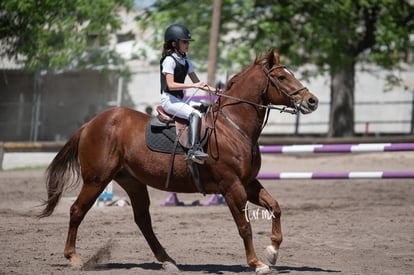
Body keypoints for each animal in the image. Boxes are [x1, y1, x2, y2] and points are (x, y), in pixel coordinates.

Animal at [39, 50, 316, 275]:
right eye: (281, 78)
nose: (312, 101)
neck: (233, 126)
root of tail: (90, 124)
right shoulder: (232, 186)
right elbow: (244, 226)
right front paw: (257, 263)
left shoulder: (248, 183)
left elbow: (275, 207)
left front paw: (272, 251)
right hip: (97, 180)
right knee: (77, 210)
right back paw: (74, 259)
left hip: (132, 181)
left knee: (142, 220)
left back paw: (167, 261)